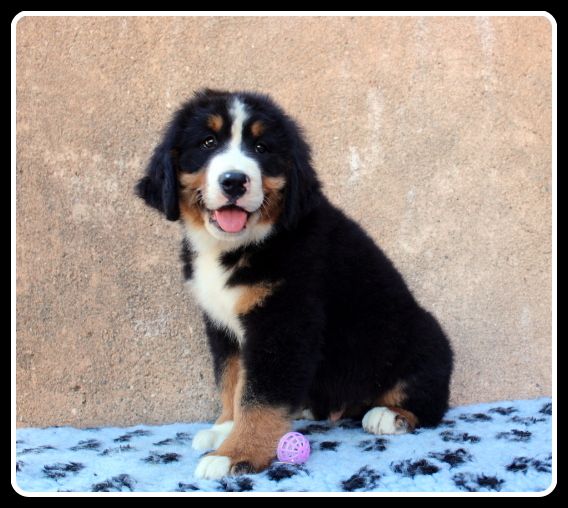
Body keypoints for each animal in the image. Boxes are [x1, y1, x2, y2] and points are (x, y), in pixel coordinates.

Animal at [135, 89, 453, 480]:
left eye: (261, 148)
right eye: (207, 142)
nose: (234, 181)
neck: (240, 246)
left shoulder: (283, 323)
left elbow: (260, 395)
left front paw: (235, 453)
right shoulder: (223, 327)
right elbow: (233, 380)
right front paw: (225, 428)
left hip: (423, 335)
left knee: (430, 403)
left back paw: (388, 416)